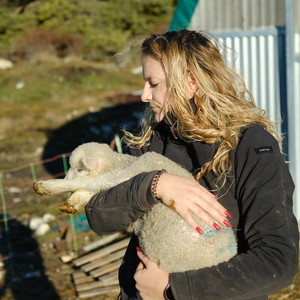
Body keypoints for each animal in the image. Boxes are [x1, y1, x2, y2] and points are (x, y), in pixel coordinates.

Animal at [33, 142, 237, 274]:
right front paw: (72, 202)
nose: (66, 178)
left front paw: (47, 186)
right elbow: (92, 189)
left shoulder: (126, 174)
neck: (124, 162)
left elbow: (92, 182)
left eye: (77, 168)